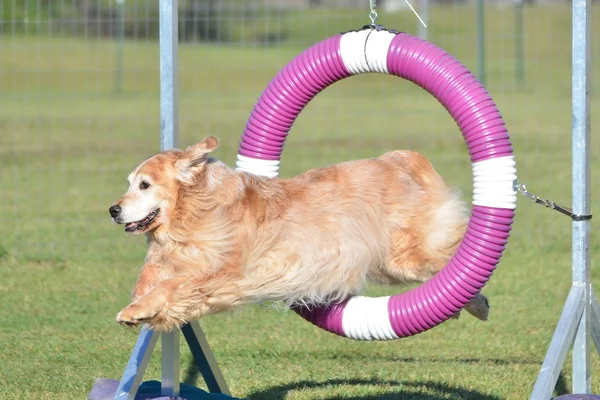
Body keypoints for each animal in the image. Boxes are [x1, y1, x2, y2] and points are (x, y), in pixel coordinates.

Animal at [109, 136, 488, 330]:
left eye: (144, 185)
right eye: (128, 182)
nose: (113, 210)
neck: (196, 211)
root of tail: (396, 160)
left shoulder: (221, 270)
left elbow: (173, 285)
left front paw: (135, 310)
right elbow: (151, 275)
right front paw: (141, 304)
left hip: (407, 255)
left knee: (452, 259)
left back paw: (476, 299)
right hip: (390, 265)